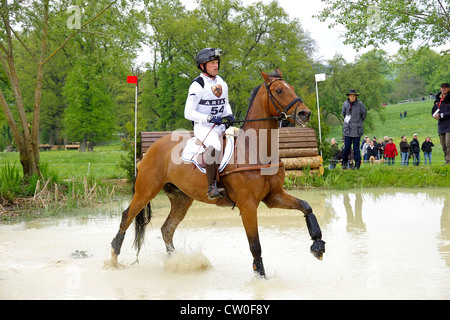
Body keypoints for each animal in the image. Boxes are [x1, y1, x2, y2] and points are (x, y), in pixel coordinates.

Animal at [110, 67, 326, 278]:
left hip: (181, 198)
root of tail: (151, 149)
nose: (305, 113)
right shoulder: (248, 205)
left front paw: (317, 245)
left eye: (293, 88)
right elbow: (255, 245)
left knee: (167, 229)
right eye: (279, 90)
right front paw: (261, 278)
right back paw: (113, 258)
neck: (255, 149)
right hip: (146, 191)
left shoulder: (274, 196)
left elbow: (306, 207)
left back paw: (175, 262)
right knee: (127, 217)